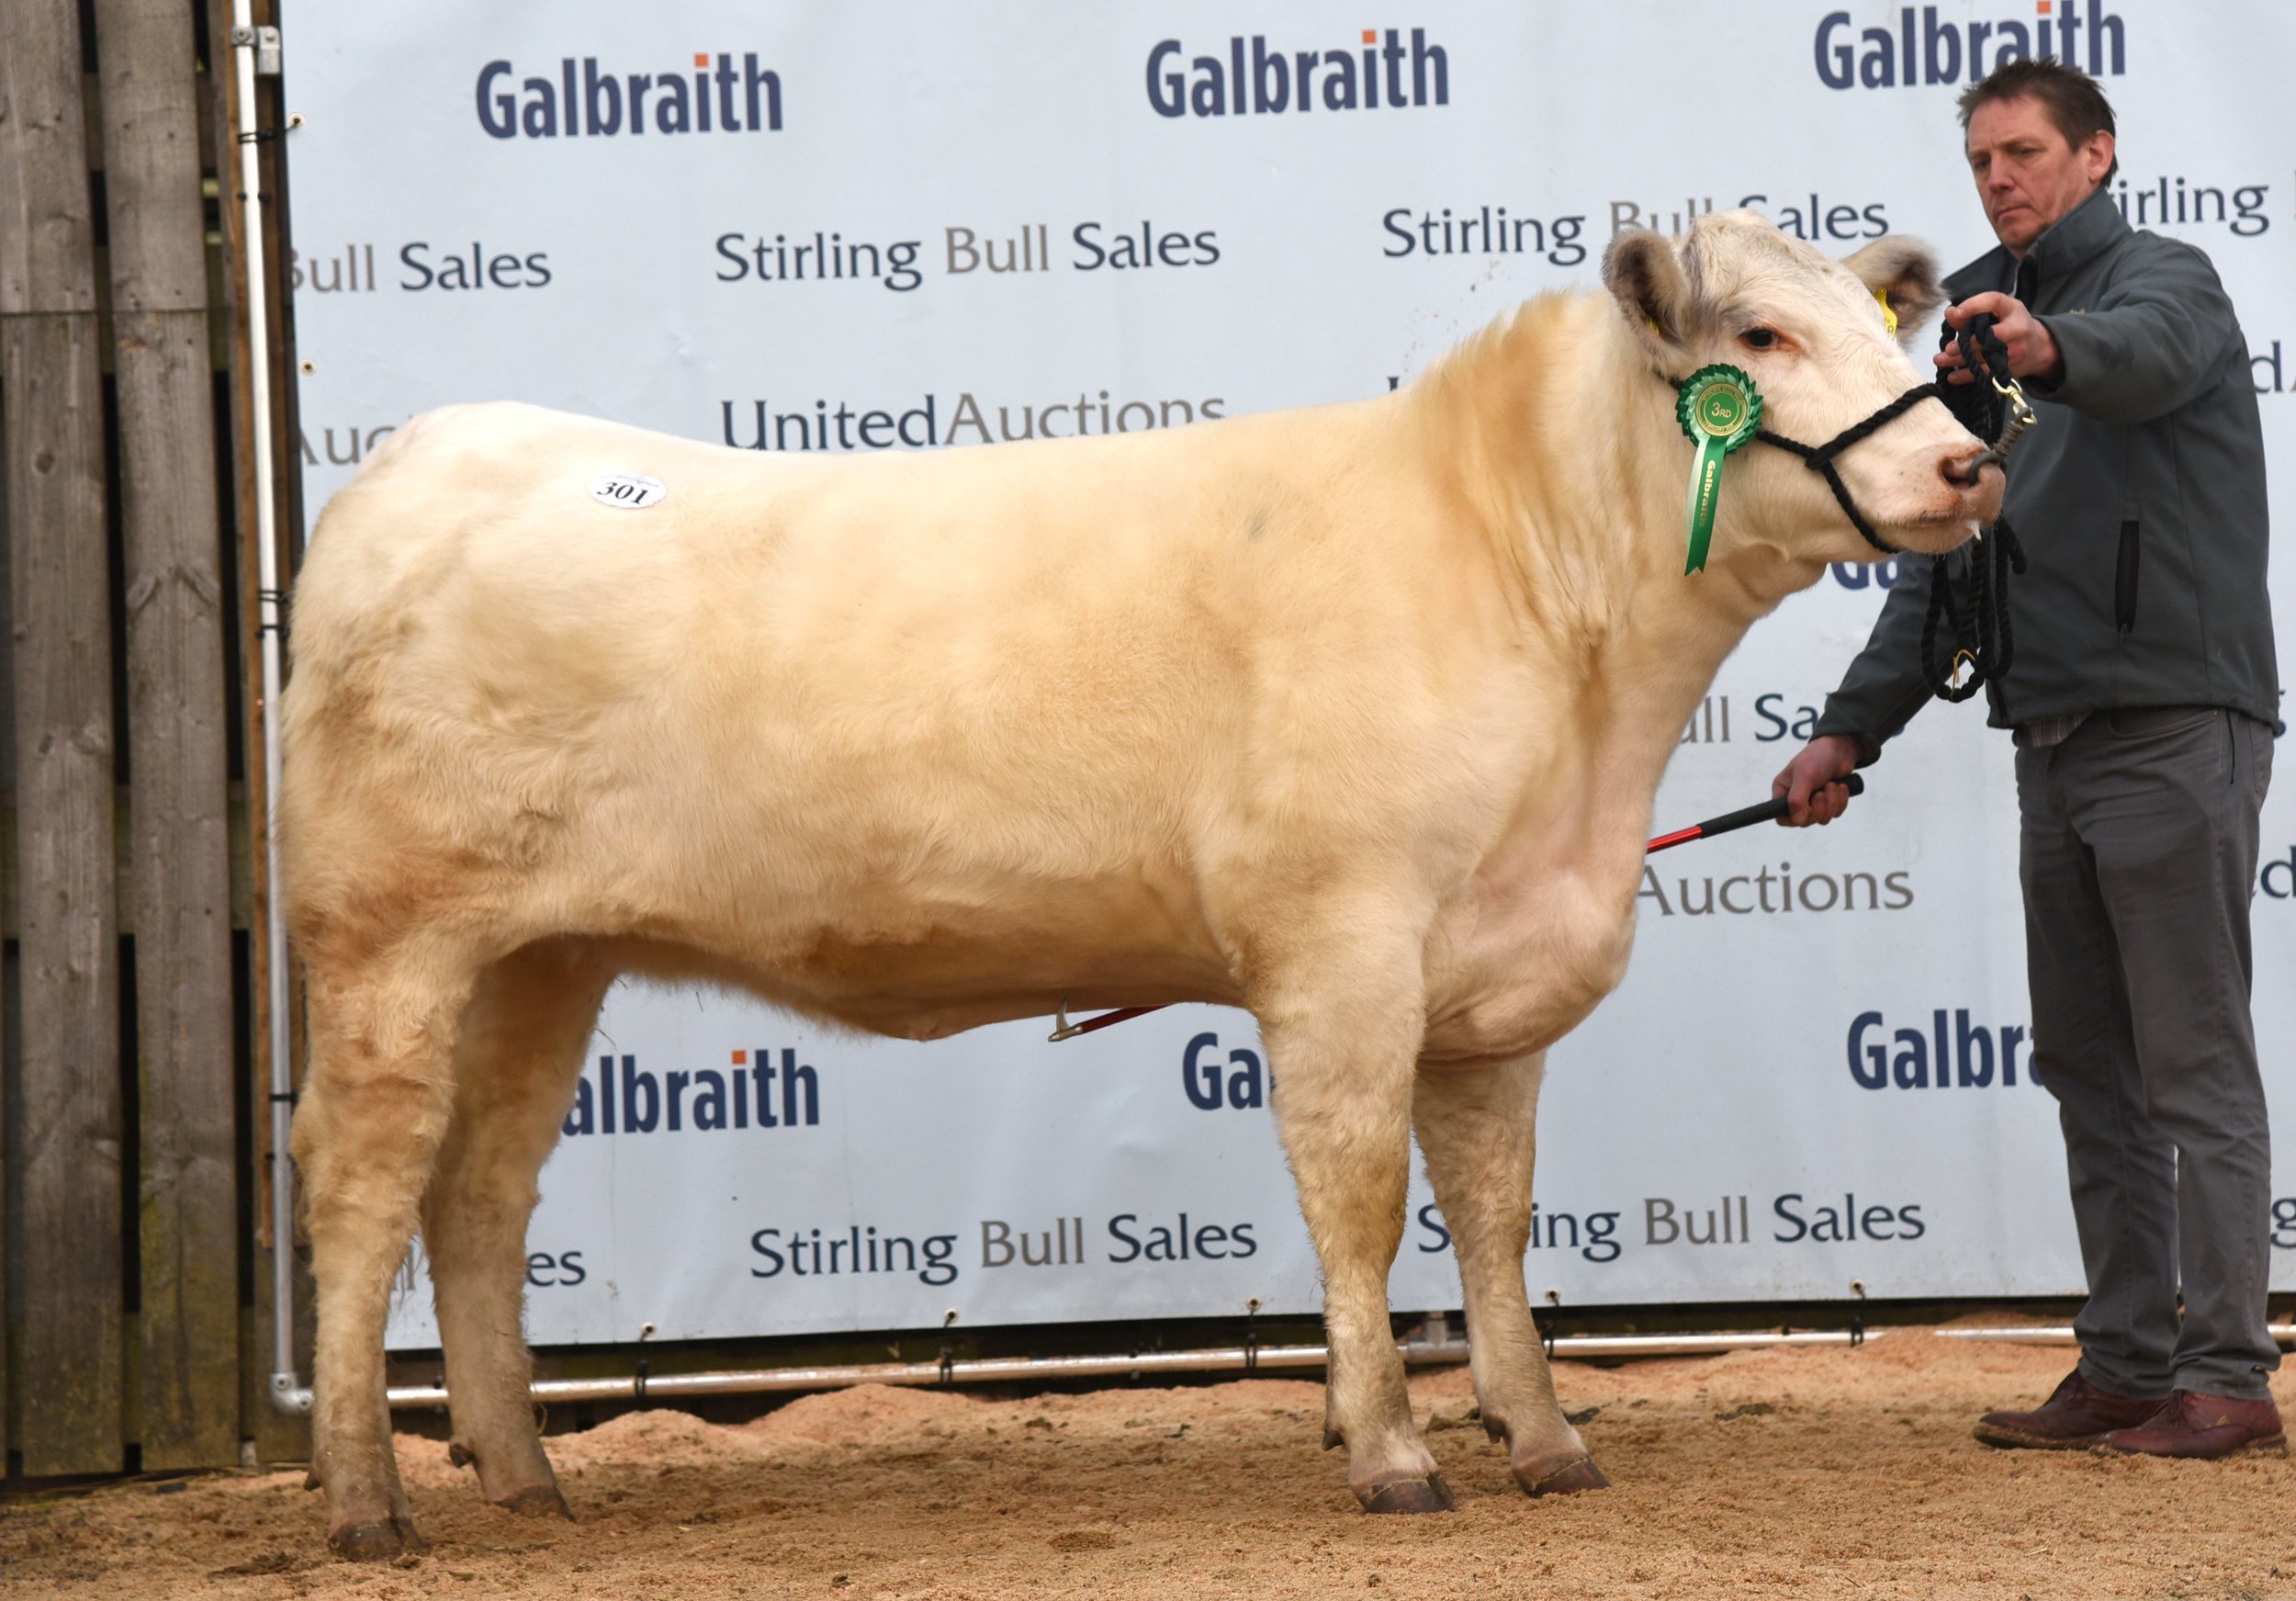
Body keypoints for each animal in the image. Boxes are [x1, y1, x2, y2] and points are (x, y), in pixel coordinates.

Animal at [282, 212, 1993, 1562]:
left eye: (1882, 326)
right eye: (1762, 334)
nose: (1967, 457)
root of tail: (426, 455)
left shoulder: (1501, 973)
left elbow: (1497, 1216)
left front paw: (1546, 1437)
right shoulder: (1340, 944)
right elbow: (1362, 1199)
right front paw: (1394, 1452)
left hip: (542, 952)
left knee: (482, 1190)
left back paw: (524, 1474)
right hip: (388, 936)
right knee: (364, 1185)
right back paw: (368, 1497)